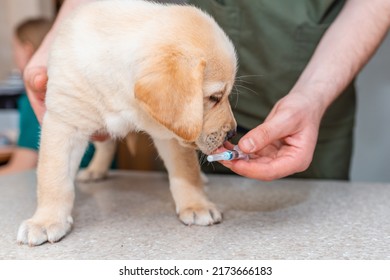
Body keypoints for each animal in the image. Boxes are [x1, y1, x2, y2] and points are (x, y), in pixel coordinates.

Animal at [17, 0, 238, 245]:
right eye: (215, 97)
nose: (232, 133)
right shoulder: (64, 122)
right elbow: (53, 179)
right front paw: (45, 221)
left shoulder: (172, 132)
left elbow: (186, 171)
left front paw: (196, 205)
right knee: (106, 145)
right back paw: (95, 171)